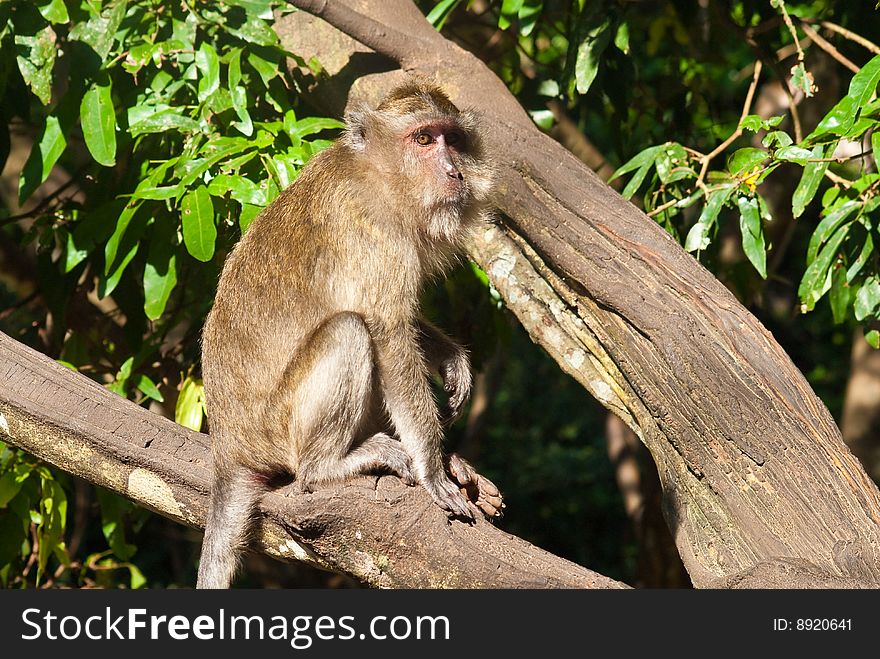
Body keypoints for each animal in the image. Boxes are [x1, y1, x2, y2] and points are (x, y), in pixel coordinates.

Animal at [197, 80, 506, 592]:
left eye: (454, 139)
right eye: (424, 139)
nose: (455, 171)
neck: (377, 174)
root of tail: (228, 450)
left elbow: (403, 322)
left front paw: (451, 359)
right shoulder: (374, 231)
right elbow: (386, 328)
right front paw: (431, 469)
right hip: (276, 432)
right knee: (349, 330)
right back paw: (328, 467)